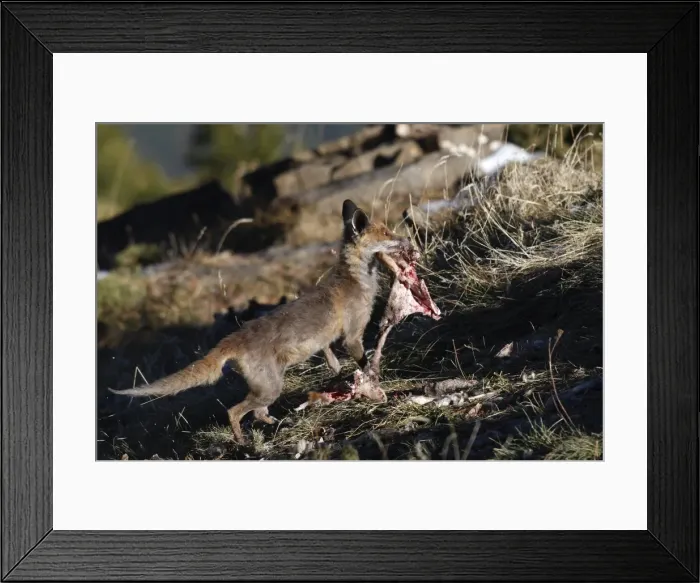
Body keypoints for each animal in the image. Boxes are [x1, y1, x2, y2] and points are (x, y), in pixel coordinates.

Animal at [109, 199, 411, 444]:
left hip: (270, 386)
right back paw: (242, 441)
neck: (355, 280)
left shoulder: (332, 338)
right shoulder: (352, 335)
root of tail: (231, 339)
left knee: (257, 414)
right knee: (235, 412)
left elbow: (330, 355)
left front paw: (336, 369)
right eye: (387, 233)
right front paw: (375, 380)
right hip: (270, 388)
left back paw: (278, 423)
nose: (406, 240)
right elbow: (365, 363)